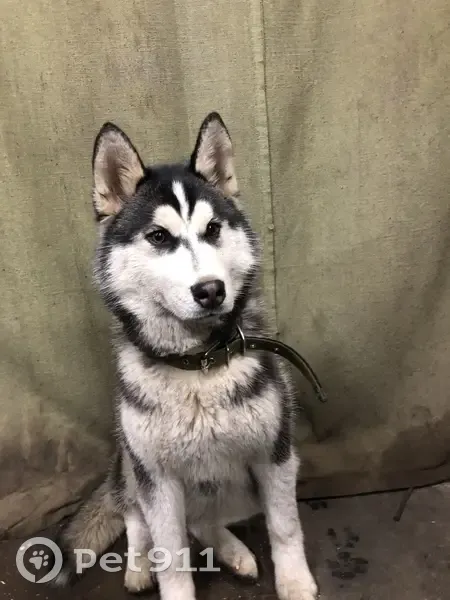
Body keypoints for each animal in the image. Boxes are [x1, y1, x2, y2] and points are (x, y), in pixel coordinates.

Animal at [53, 112, 318, 600]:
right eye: (158, 236)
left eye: (213, 229)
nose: (212, 290)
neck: (198, 366)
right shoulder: (156, 478)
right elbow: (170, 553)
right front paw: (163, 576)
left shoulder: (274, 455)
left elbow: (285, 526)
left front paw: (294, 582)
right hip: (130, 465)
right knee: (138, 521)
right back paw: (139, 566)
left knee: (202, 522)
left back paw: (232, 550)